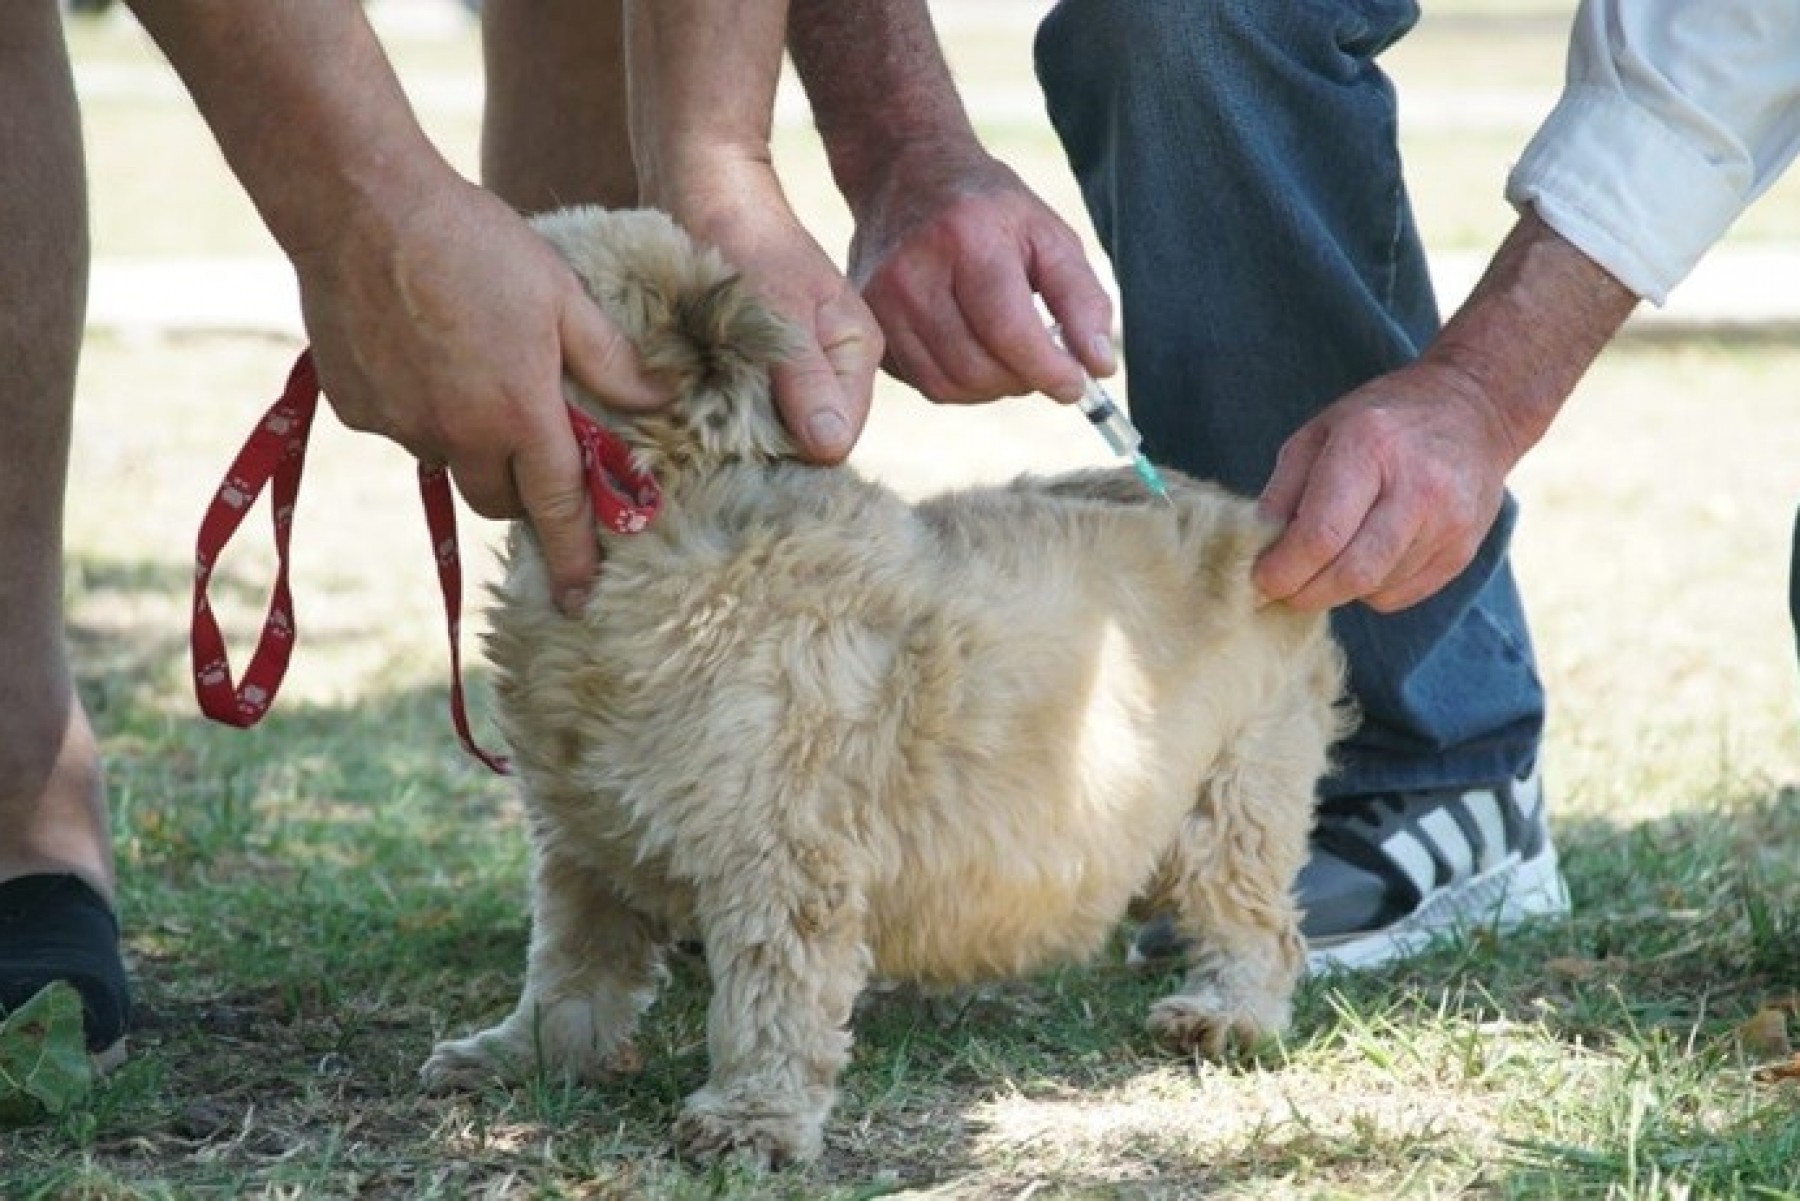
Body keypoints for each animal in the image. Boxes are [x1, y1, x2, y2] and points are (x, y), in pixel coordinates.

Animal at [421, 204, 1353, 1166]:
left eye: (552, 281)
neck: (661, 516)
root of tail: (1255, 525)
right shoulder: (584, 837)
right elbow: (572, 965)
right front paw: (522, 1053)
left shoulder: (781, 854)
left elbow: (770, 995)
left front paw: (752, 1115)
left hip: (1235, 794)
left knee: (1260, 924)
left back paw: (1228, 1015)